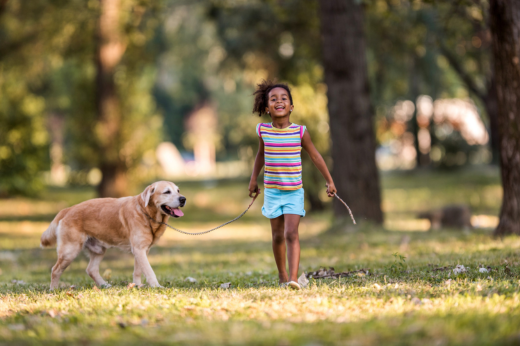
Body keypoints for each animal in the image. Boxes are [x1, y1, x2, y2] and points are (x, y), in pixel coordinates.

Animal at [40, 181, 187, 290]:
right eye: (167, 192)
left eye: (178, 191)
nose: (183, 199)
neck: (145, 212)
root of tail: (68, 209)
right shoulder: (139, 249)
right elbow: (149, 271)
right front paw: (156, 286)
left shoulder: (142, 250)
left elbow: (138, 270)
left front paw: (137, 285)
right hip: (69, 251)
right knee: (55, 270)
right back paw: (53, 289)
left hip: (99, 250)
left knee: (91, 269)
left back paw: (105, 285)